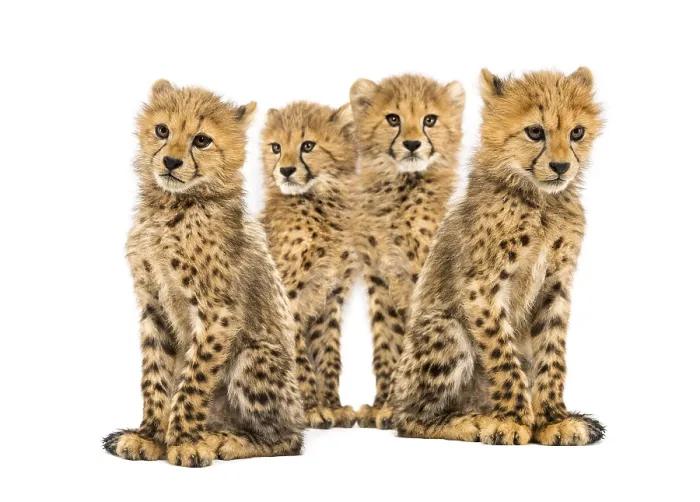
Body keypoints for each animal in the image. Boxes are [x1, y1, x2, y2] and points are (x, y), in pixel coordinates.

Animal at [102, 80, 304, 467]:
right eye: (162, 131)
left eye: (201, 140)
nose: (170, 161)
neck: (172, 205)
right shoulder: (153, 307)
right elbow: (156, 375)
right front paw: (150, 436)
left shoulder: (217, 314)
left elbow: (193, 380)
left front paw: (183, 442)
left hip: (254, 358)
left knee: (288, 439)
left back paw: (224, 440)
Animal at [260, 101, 358, 428]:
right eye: (276, 147)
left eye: (307, 146)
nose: (286, 170)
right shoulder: (288, 298)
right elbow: (300, 357)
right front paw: (312, 408)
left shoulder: (330, 297)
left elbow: (329, 354)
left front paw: (333, 406)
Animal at [349, 74, 465, 428]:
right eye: (393, 119)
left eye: (430, 120)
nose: (412, 144)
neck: (401, 187)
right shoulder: (380, 279)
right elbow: (386, 343)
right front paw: (382, 404)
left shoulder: (422, 278)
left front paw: (396, 406)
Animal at [392, 67, 605, 446]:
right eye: (535, 132)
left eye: (576, 132)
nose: (561, 166)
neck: (540, 200)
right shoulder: (482, 286)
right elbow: (502, 355)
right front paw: (515, 420)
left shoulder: (556, 286)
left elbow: (552, 354)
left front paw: (553, 419)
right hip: (446, 331)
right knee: (411, 418)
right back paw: (476, 421)